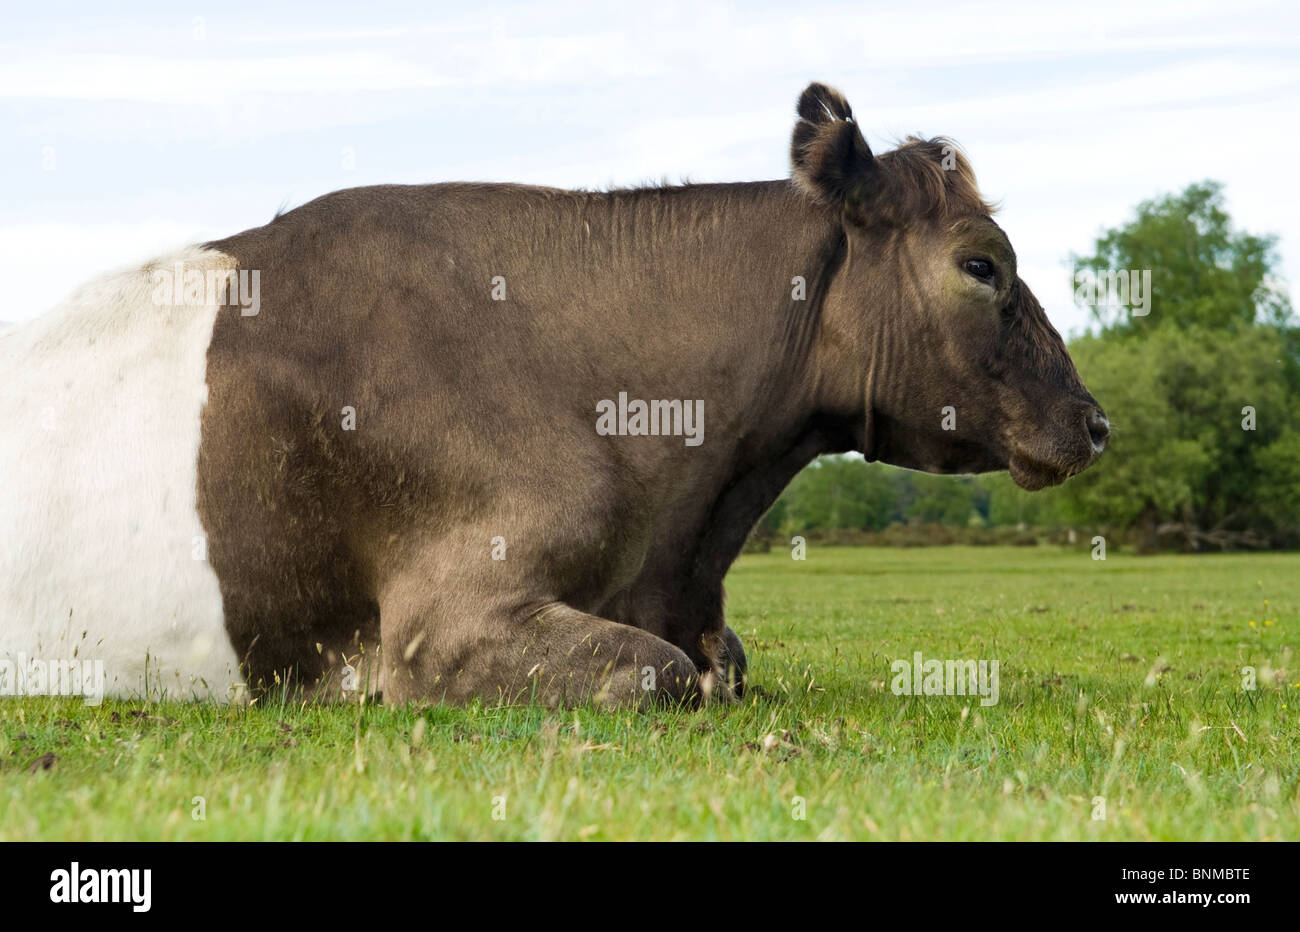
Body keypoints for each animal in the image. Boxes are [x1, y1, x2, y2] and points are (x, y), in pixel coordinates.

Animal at [0, 83, 1107, 706]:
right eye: (981, 263)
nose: (1094, 421)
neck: (683, 538)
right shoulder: (439, 627)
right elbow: (667, 674)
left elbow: (722, 662)